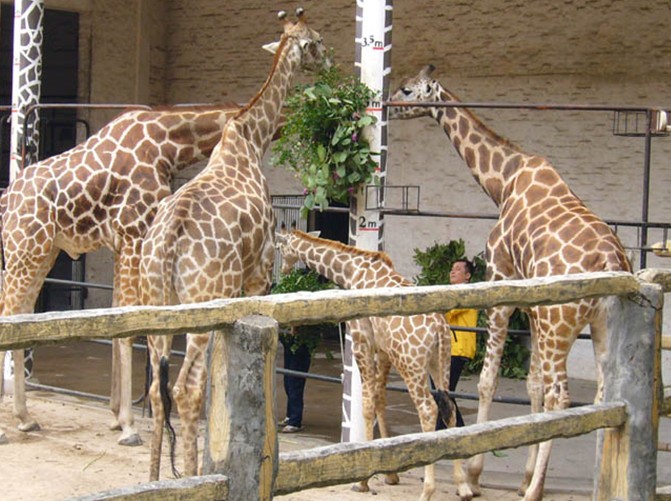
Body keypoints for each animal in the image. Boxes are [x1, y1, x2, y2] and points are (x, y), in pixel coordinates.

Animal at [0, 102, 243, 446]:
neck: (169, 144)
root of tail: (6, 199)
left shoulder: (121, 242)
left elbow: (117, 318)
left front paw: (116, 416)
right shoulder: (134, 233)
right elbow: (130, 323)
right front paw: (128, 425)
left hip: (42, 252)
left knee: (19, 316)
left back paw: (24, 418)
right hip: (25, 251)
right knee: (8, 315)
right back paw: (4, 428)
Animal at [139, 8, 330, 481]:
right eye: (316, 40)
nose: (330, 62)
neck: (250, 138)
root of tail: (167, 243)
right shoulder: (258, 272)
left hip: (156, 303)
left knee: (157, 390)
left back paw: (153, 479)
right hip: (202, 300)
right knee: (185, 388)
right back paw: (192, 476)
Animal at [275, 230, 473, 501]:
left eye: (279, 248)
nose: (283, 271)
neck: (351, 272)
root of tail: (440, 329)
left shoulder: (362, 343)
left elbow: (367, 404)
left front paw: (363, 480)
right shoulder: (384, 351)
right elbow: (380, 400)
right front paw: (390, 473)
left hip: (411, 364)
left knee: (428, 409)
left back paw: (428, 490)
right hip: (440, 363)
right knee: (449, 408)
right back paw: (463, 486)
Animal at [389, 64, 632, 501]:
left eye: (408, 89)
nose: (385, 102)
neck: (502, 183)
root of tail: (612, 259)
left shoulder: (501, 283)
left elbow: (488, 381)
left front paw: (475, 473)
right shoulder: (533, 309)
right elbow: (532, 384)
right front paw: (522, 474)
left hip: (560, 322)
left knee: (561, 394)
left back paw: (536, 490)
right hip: (597, 323)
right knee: (602, 394)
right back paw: (596, 482)